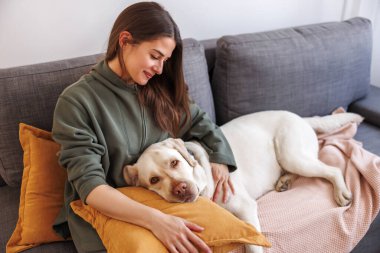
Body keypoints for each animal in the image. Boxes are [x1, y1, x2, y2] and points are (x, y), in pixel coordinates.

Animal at [124, 110, 362, 253]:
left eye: (174, 162)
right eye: (154, 179)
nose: (181, 189)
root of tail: (301, 118)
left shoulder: (245, 208)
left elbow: (253, 245)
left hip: (292, 155)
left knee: (332, 170)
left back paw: (341, 192)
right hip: (293, 159)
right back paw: (284, 181)